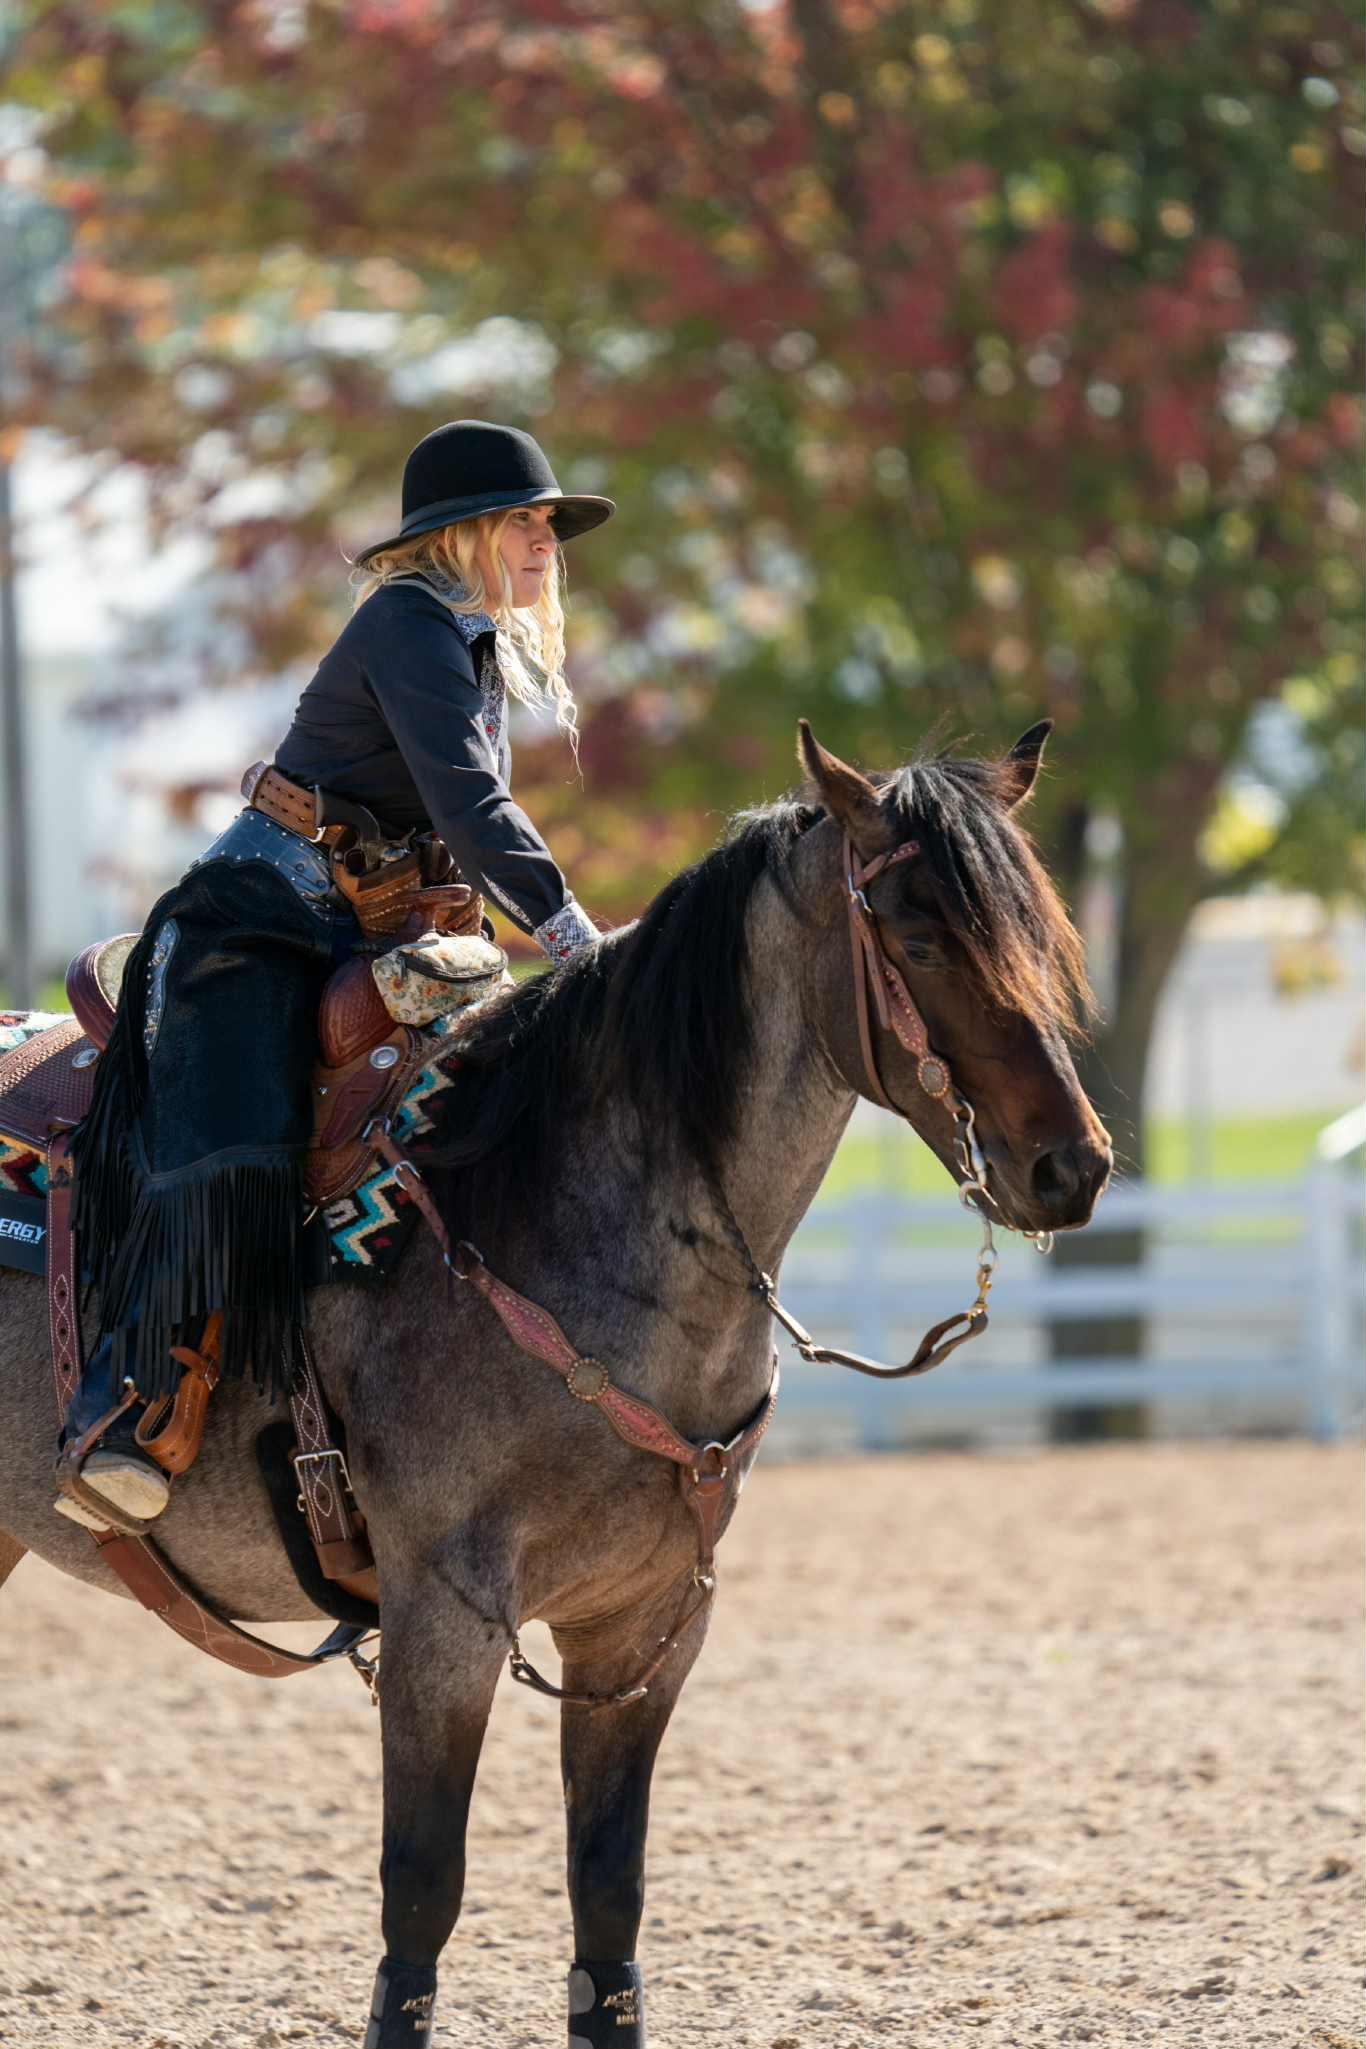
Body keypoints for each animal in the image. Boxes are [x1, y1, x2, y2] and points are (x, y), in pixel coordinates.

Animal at [0, 723, 1111, 2047]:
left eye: (1042, 934)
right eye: (923, 936)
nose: (1072, 1167)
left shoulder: (643, 1623)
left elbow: (607, 1898)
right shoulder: (445, 1621)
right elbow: (420, 1896)